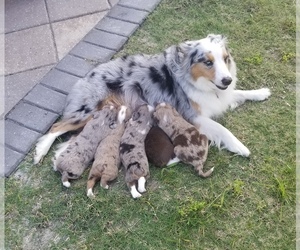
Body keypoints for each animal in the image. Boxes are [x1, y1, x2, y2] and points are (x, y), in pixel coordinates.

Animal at [34, 33, 270, 164]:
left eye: (225, 59)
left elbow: (239, 93)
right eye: (208, 62)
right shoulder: (193, 117)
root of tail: (86, 76)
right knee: (57, 127)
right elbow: (223, 130)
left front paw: (261, 92)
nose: (227, 79)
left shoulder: (220, 96)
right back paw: (40, 153)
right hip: (87, 110)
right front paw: (240, 147)